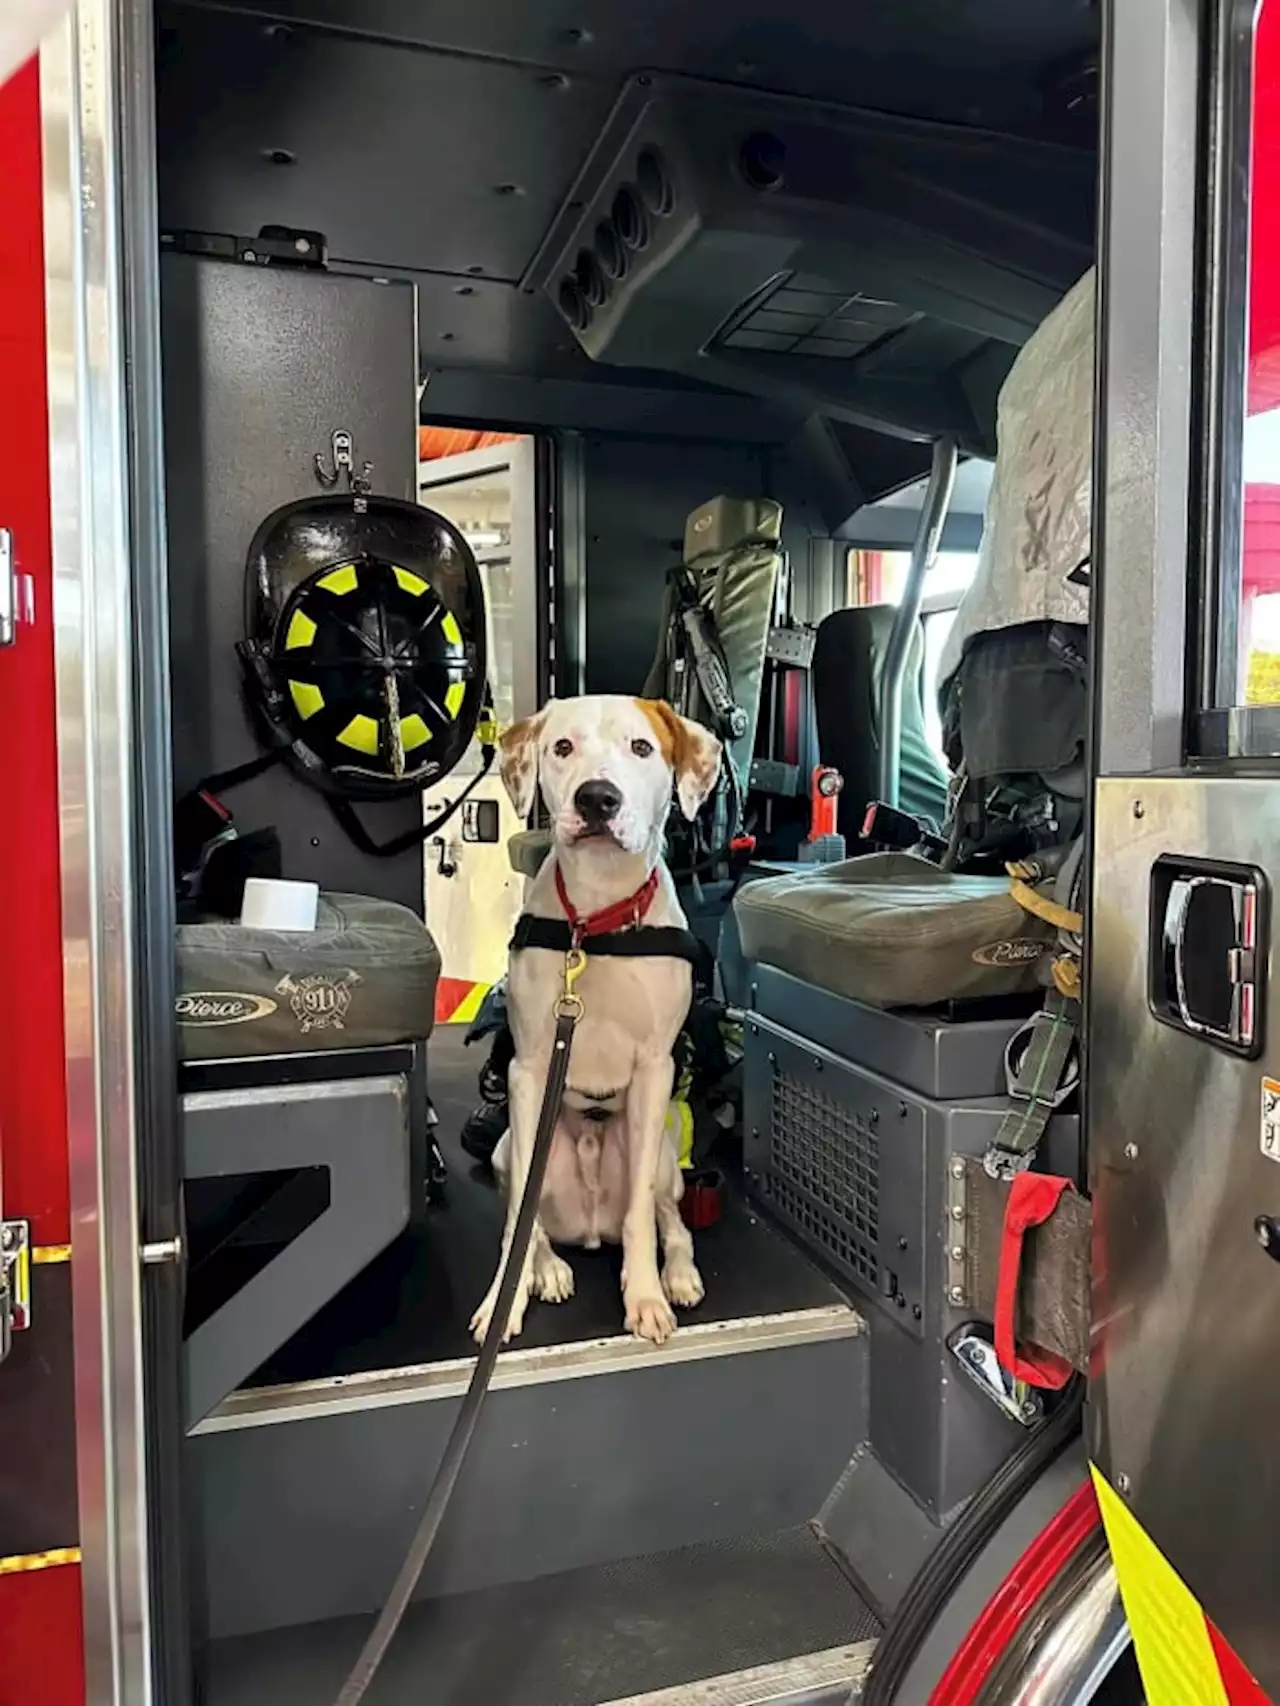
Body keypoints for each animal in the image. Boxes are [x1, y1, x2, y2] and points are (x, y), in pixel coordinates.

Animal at [471, 692, 727, 1344]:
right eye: (562, 747)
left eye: (641, 747)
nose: (596, 799)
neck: (597, 919)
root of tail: (589, 1229)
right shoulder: (529, 1071)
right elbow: (518, 1216)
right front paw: (505, 1300)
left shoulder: (656, 1071)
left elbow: (641, 1216)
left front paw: (646, 1297)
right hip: (508, 1149)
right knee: (530, 1221)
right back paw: (548, 1268)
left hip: (662, 1159)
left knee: (671, 1221)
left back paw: (678, 1275)